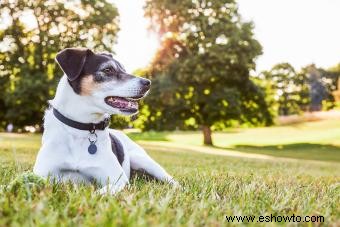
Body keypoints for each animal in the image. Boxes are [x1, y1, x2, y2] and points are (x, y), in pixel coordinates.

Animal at [32, 47, 178, 193]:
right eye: (108, 70)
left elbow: (99, 193)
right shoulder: (41, 174)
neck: (81, 128)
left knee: (171, 180)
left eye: (124, 69)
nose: (148, 83)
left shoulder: (119, 181)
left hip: (143, 160)